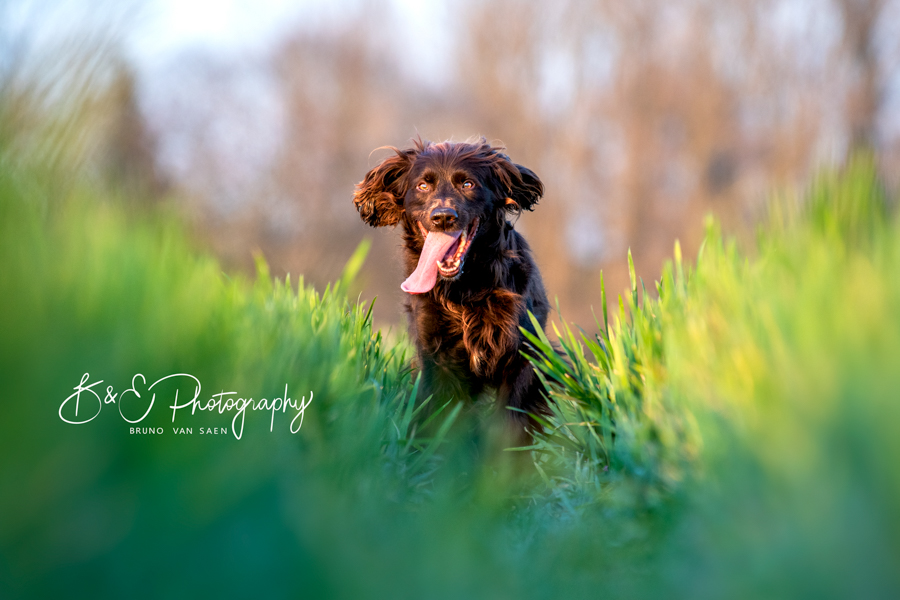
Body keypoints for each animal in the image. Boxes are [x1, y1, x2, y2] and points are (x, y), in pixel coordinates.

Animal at [352, 136, 548, 436]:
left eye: (467, 184)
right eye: (423, 186)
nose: (443, 217)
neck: (465, 289)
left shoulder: (522, 355)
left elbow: (511, 422)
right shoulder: (437, 358)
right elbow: (444, 418)